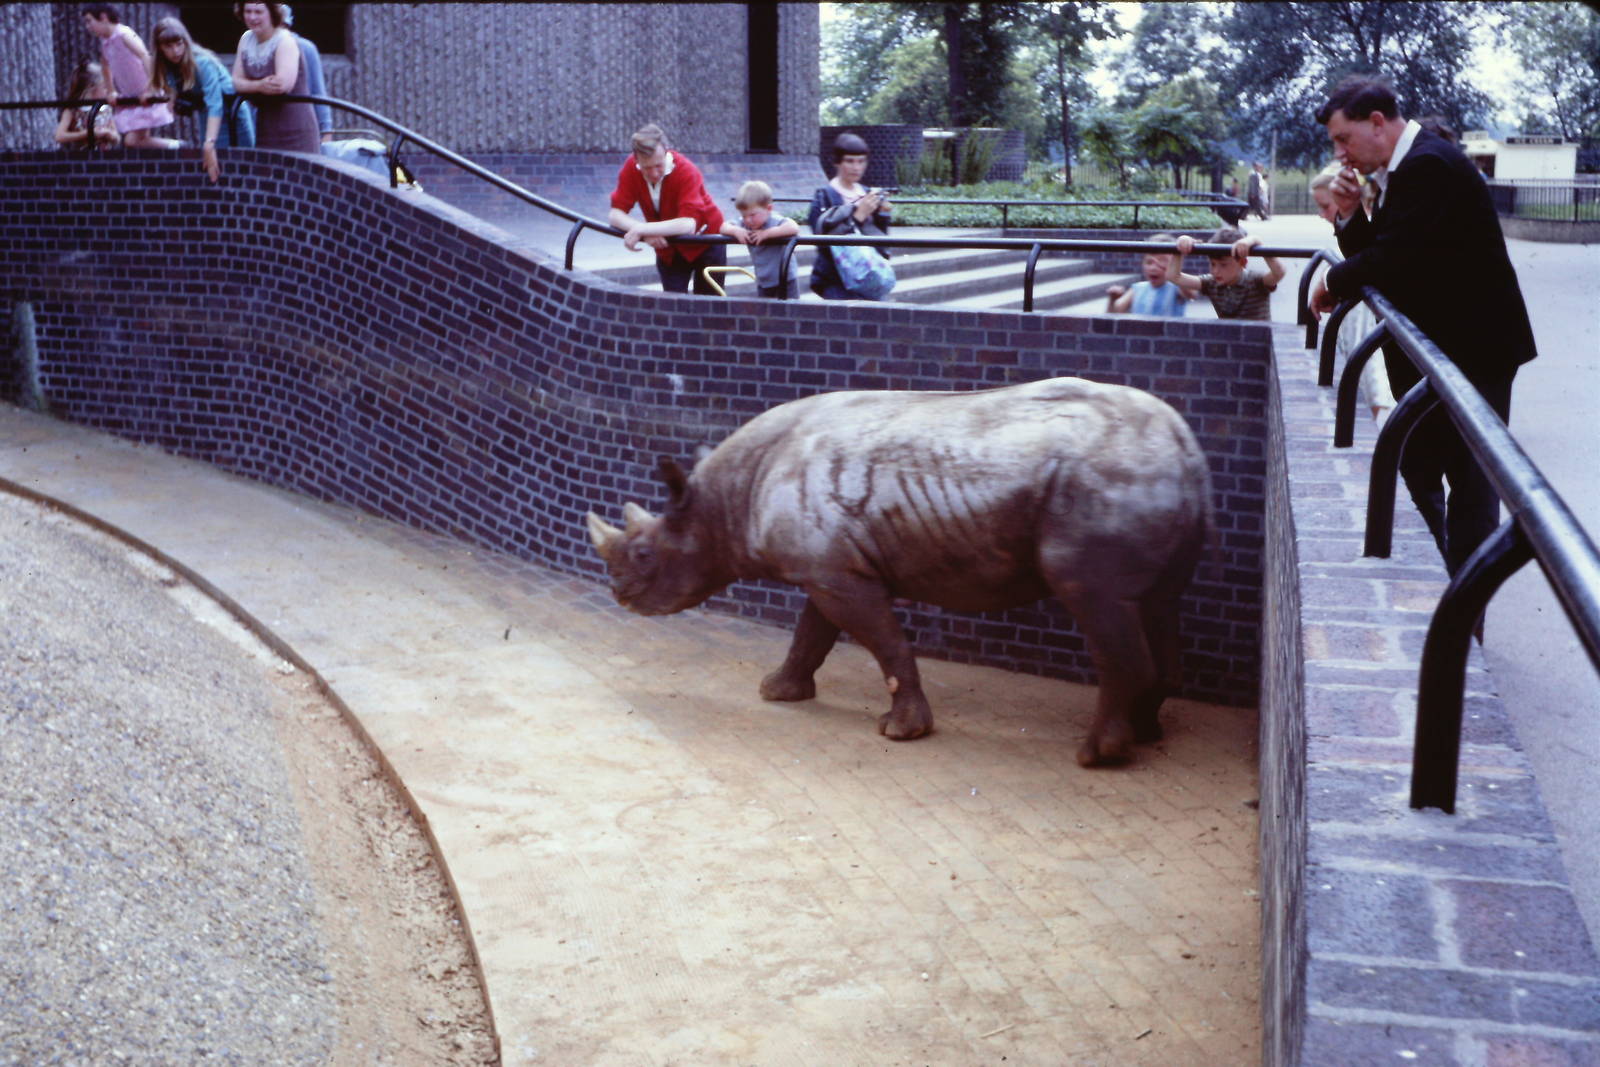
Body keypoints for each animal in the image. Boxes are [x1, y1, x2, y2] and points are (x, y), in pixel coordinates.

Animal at [585, 377, 1213, 767]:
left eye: (644, 556)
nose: (618, 593)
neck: (721, 503)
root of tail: (1182, 444)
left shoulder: (836, 574)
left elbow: (885, 643)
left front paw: (901, 731)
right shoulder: (828, 567)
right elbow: (811, 634)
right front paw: (778, 692)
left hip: (1103, 482)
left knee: (1096, 599)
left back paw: (1095, 756)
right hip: (1151, 478)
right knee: (1157, 603)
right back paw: (1144, 734)